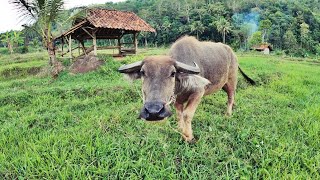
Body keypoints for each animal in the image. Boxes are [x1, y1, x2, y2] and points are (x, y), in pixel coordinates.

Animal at [118, 35, 255, 142]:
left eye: (173, 73)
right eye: (142, 72)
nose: (153, 112)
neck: (182, 83)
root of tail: (232, 53)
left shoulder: (198, 93)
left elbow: (187, 114)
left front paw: (188, 136)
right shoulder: (177, 100)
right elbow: (179, 114)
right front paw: (180, 128)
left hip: (232, 80)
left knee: (231, 96)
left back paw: (228, 113)